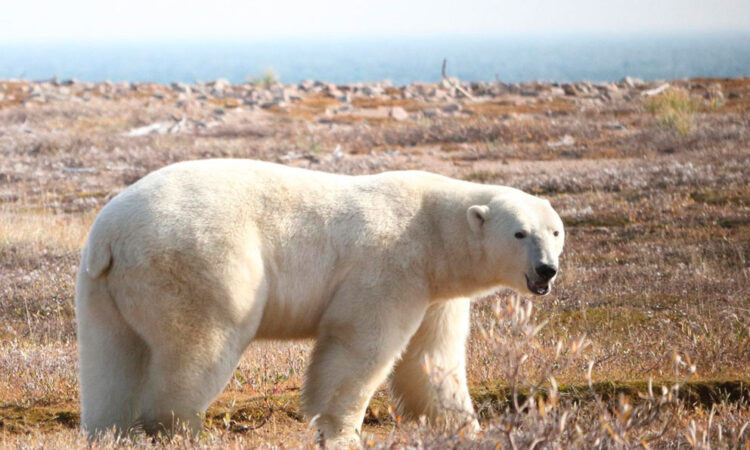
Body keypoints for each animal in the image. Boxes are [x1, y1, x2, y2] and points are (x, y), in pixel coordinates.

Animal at [75, 159, 564, 446]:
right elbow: (360, 346)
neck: (433, 230)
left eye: (555, 231)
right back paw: (183, 429)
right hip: (199, 263)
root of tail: (111, 234)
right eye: (519, 233)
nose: (546, 270)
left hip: (103, 289)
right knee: (199, 345)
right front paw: (341, 432)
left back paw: (108, 431)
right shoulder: (390, 266)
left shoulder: (436, 292)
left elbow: (431, 359)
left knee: (111, 360)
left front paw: (466, 427)